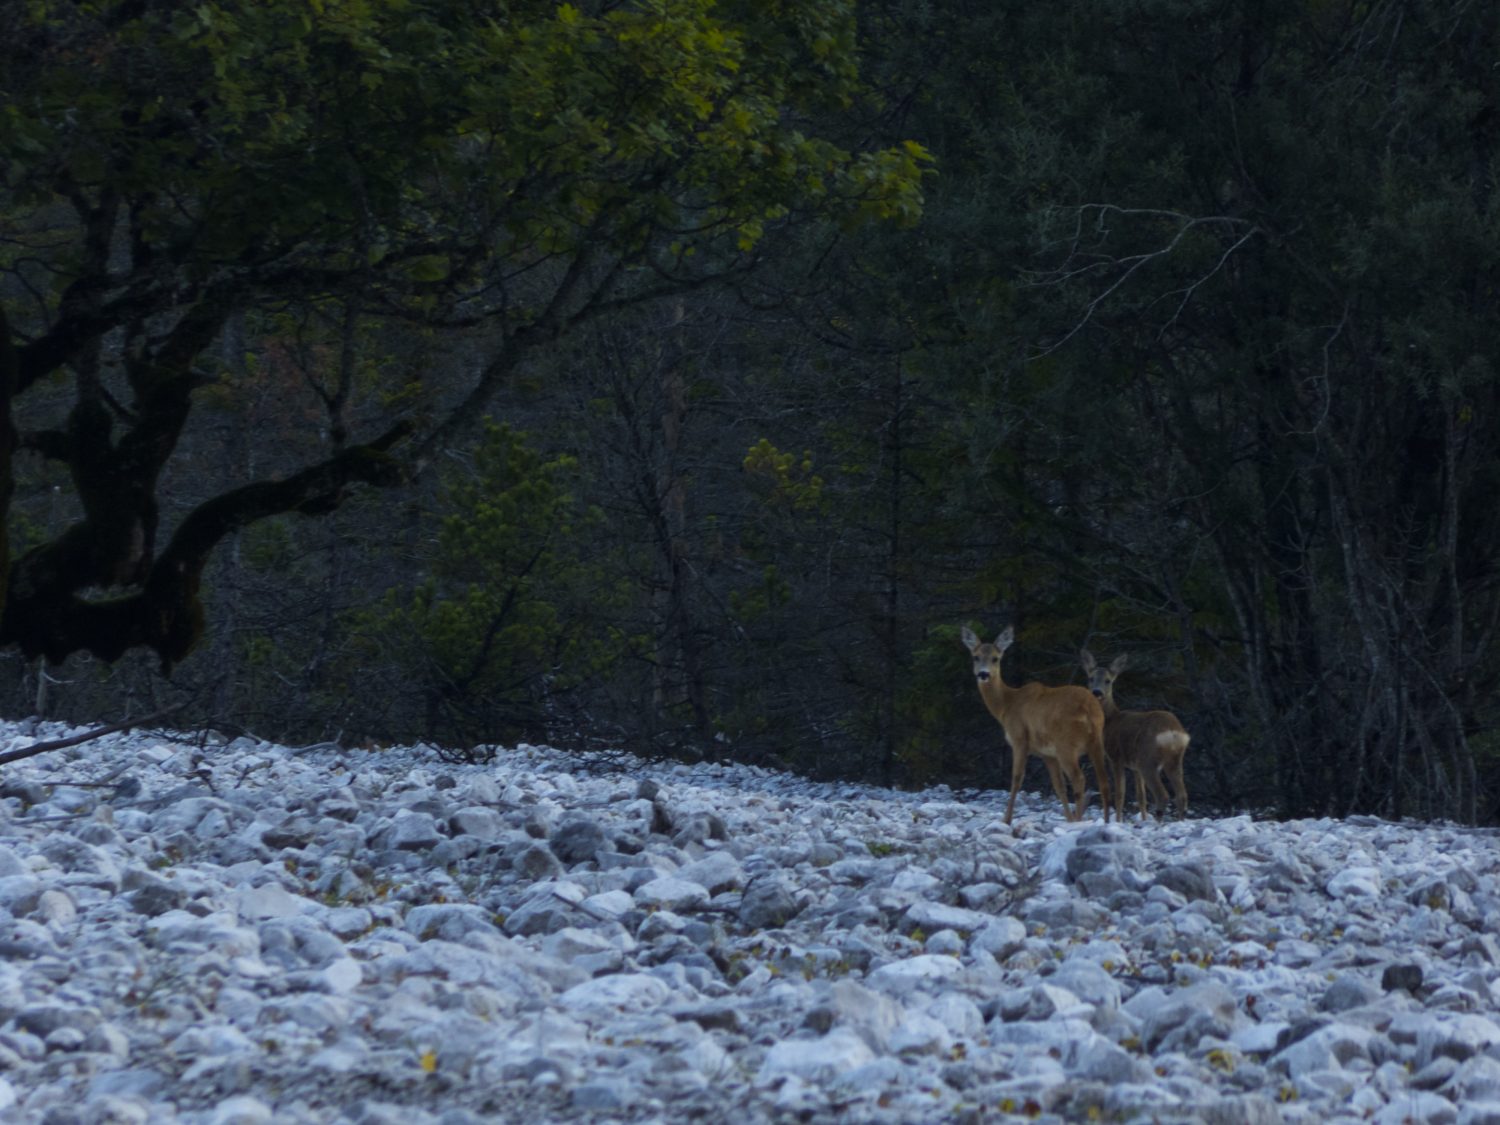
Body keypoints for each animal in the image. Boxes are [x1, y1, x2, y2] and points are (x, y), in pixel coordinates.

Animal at [960, 627, 1116, 828]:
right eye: (976, 657)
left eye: (995, 658)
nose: (983, 674)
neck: (1007, 705)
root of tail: (1089, 710)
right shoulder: (1048, 754)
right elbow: (1059, 787)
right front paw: (1068, 818)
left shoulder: (1019, 739)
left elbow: (1017, 779)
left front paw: (1006, 819)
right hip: (1096, 742)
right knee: (1103, 781)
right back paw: (1104, 821)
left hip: (1066, 745)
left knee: (1080, 779)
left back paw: (1079, 821)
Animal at [1080, 648, 1194, 822]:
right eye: (1090, 678)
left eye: (1108, 681)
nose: (1097, 692)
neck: (1110, 721)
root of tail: (1173, 732)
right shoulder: (1135, 767)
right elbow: (1141, 797)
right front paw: (1143, 819)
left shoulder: (1116, 757)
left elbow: (1120, 794)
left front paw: (1118, 821)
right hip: (1174, 760)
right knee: (1182, 795)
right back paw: (1178, 822)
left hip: (1148, 758)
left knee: (1163, 795)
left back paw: (1158, 823)